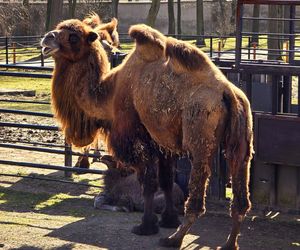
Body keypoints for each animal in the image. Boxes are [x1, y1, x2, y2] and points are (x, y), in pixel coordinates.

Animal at [41, 18, 253, 249]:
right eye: (59, 28)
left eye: (74, 37)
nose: (47, 38)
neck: (109, 95)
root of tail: (228, 93)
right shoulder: (163, 143)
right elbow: (166, 181)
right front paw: (168, 219)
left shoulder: (136, 140)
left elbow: (149, 183)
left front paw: (146, 226)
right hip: (241, 141)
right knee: (241, 194)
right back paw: (229, 243)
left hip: (200, 139)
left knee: (198, 196)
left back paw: (174, 239)